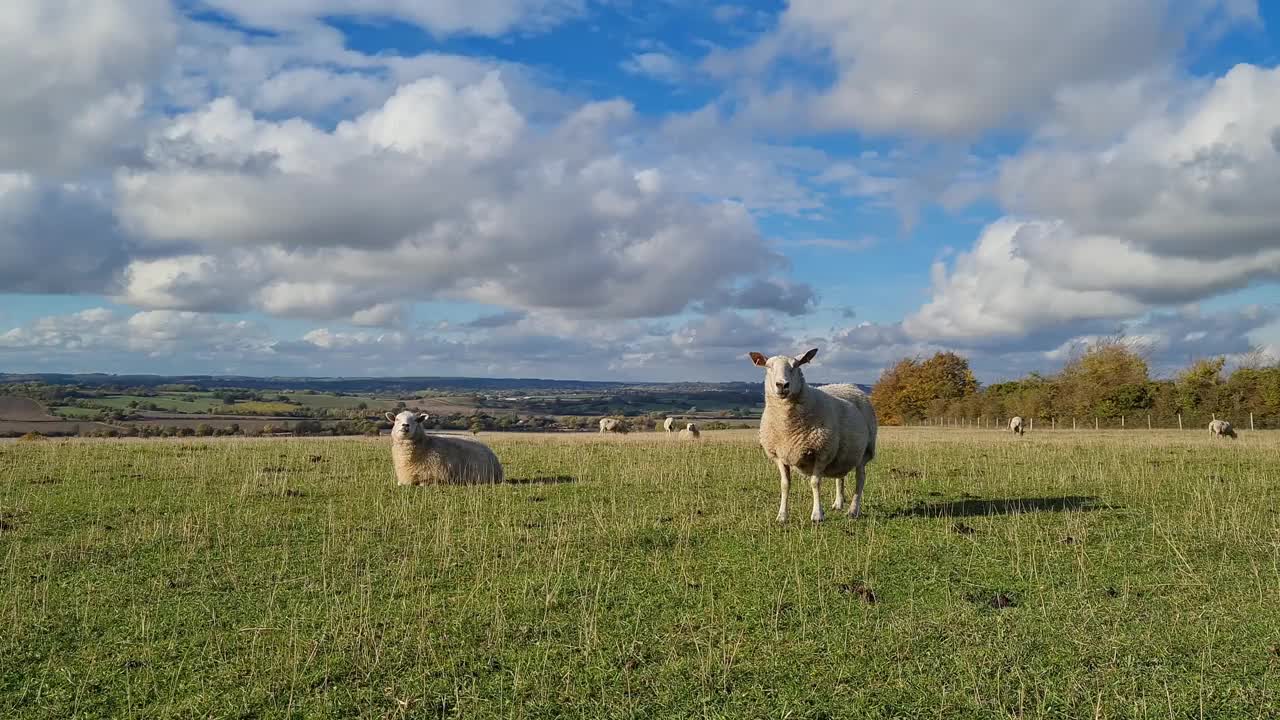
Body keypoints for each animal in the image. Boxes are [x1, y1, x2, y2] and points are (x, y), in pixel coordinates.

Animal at [747, 348, 880, 520]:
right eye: (768, 366)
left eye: (796, 366)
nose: (782, 385)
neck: (787, 427)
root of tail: (847, 384)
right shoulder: (778, 455)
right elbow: (785, 484)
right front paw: (782, 515)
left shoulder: (822, 452)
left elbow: (815, 483)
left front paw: (817, 514)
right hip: (842, 452)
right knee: (840, 477)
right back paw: (838, 503)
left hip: (865, 450)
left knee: (860, 478)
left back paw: (853, 510)